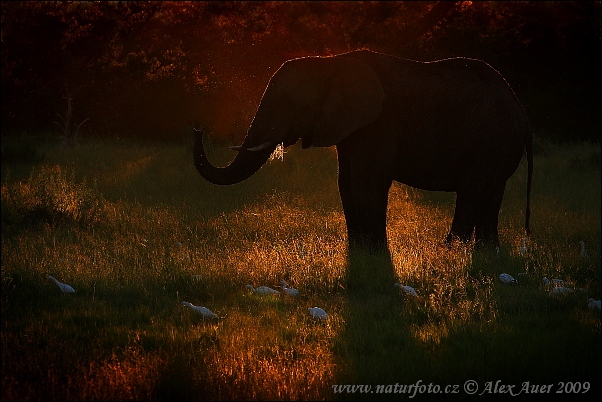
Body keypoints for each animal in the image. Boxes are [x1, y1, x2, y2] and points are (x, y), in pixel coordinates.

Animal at [191, 49, 528, 251]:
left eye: (288, 102)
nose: (198, 128)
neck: (330, 61)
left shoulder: (379, 122)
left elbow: (366, 182)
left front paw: (374, 252)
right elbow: (346, 182)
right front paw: (360, 251)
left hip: (493, 138)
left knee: (472, 192)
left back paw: (448, 252)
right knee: (491, 195)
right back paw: (487, 253)